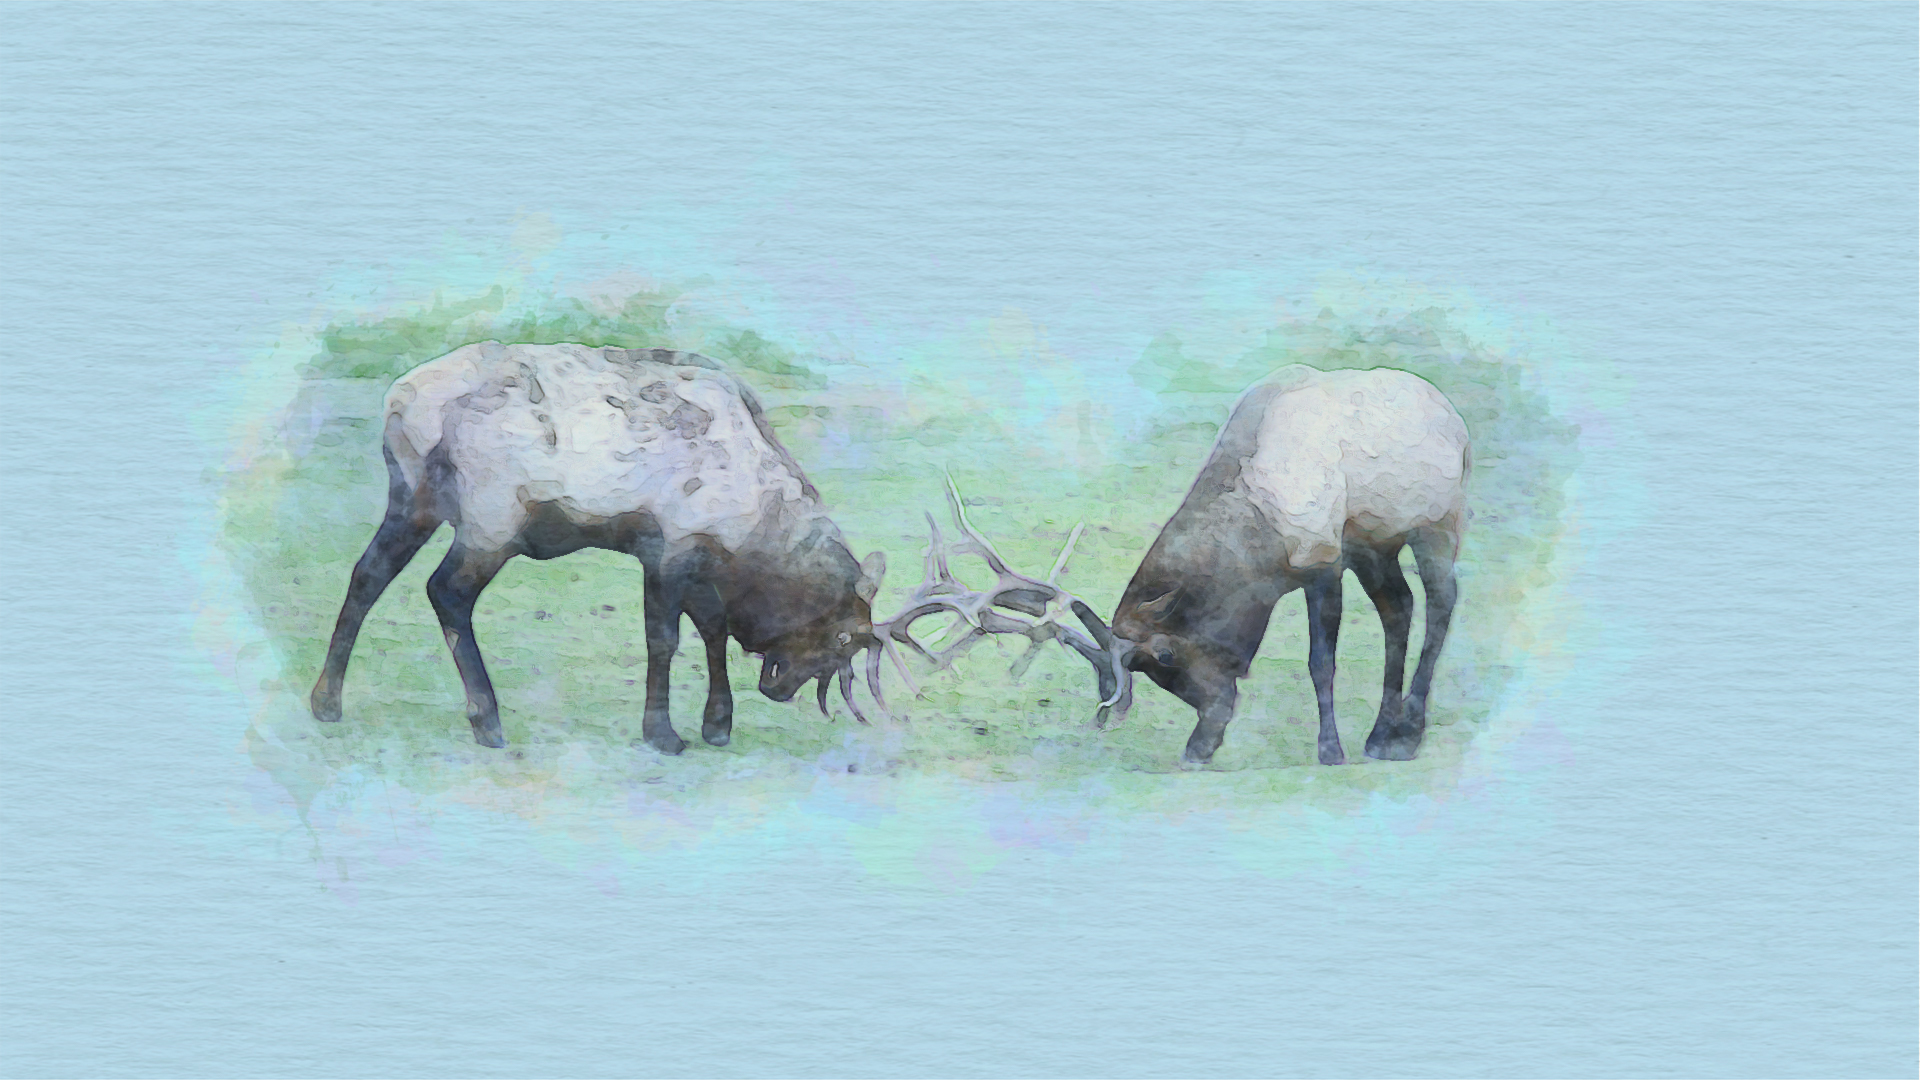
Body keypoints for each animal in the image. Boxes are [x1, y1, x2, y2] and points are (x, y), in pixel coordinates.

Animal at [310, 341, 912, 754]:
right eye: (840, 636)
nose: (781, 690)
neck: (758, 524)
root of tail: (402, 400)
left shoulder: (689, 559)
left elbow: (712, 630)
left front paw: (717, 724)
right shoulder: (671, 546)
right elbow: (666, 639)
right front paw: (663, 732)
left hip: (413, 499)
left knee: (367, 573)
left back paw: (326, 702)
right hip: (492, 517)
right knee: (445, 591)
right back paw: (488, 719)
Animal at [1069, 364, 1473, 766]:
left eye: (1165, 655)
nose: (1199, 744)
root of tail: (1455, 418)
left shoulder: (1323, 562)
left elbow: (1320, 663)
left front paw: (1330, 749)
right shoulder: (1346, 553)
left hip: (1437, 525)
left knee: (1442, 600)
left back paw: (1409, 735)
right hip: (1373, 546)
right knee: (1398, 607)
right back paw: (1381, 734)